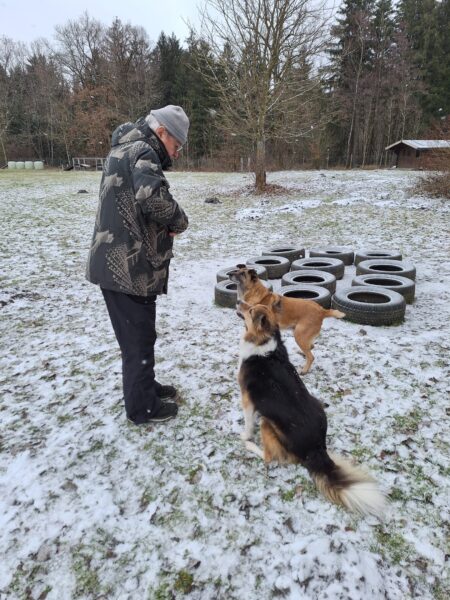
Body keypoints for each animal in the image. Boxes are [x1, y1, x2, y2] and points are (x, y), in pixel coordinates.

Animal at [237, 301, 386, 517]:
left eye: (250, 310)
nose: (238, 302)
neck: (265, 341)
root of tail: (316, 447)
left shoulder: (247, 399)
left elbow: (248, 423)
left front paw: (245, 435)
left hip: (269, 424)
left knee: (269, 458)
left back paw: (251, 446)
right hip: (317, 402)